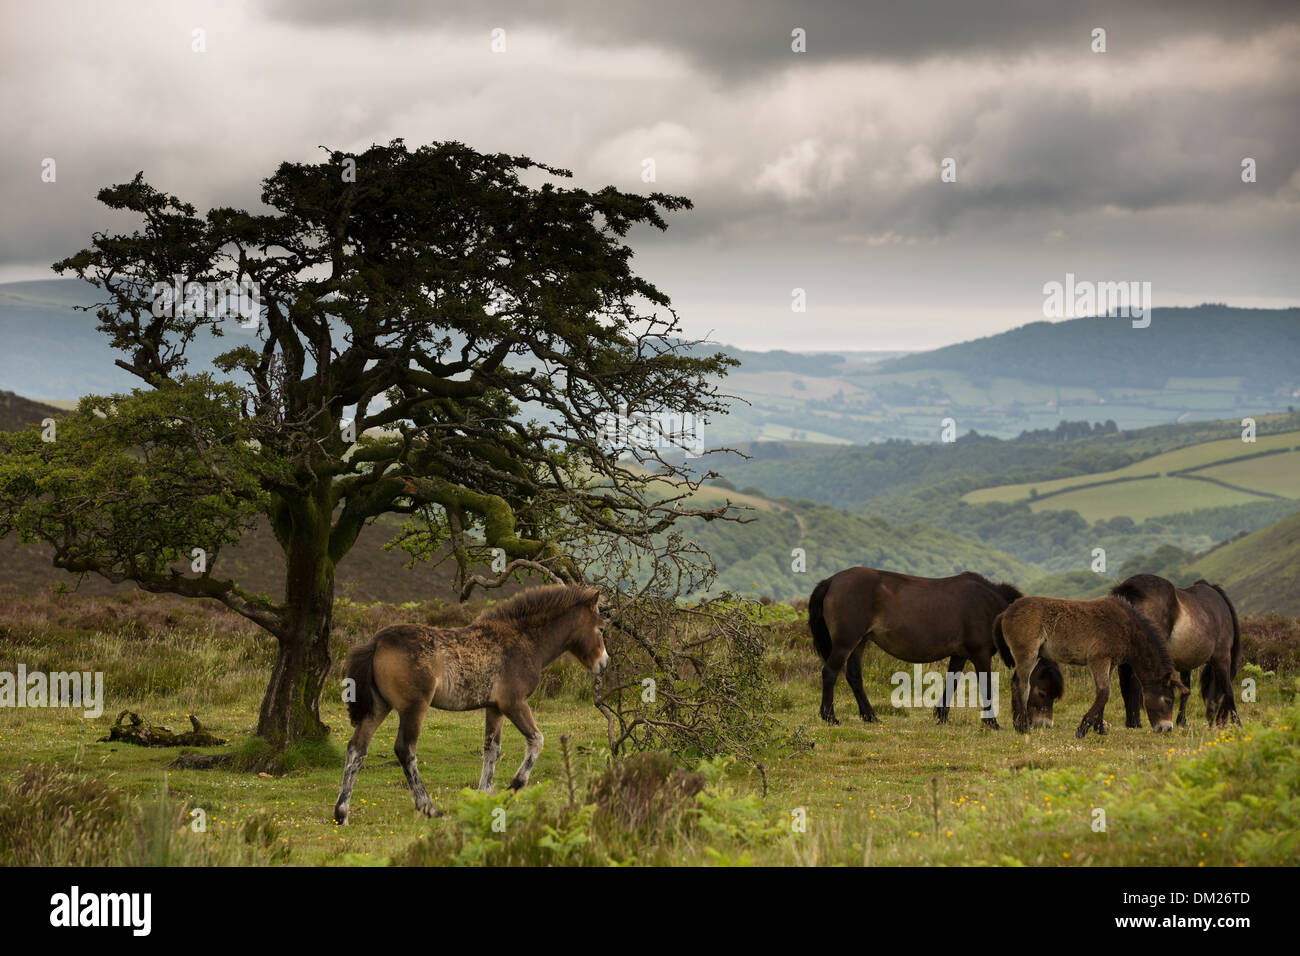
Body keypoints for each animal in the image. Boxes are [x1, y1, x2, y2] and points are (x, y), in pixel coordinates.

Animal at [330, 582, 603, 822]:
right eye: (601, 628)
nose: (604, 663)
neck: (523, 640)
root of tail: (376, 642)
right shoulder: (514, 704)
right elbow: (536, 740)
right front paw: (512, 789)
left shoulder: (494, 708)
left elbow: (491, 749)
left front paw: (484, 797)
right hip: (413, 708)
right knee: (405, 749)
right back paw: (429, 808)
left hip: (378, 707)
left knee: (357, 748)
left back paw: (342, 813)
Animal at [806, 567, 1050, 733]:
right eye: (1043, 691)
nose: (1040, 725)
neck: (991, 605)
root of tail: (831, 581)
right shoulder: (980, 654)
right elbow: (987, 685)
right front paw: (992, 722)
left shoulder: (959, 655)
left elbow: (952, 682)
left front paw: (941, 715)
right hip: (846, 642)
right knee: (830, 673)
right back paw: (830, 717)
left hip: (859, 643)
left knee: (854, 676)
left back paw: (870, 716)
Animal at [993, 590, 1190, 738]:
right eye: (1168, 700)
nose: (1166, 728)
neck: (1127, 629)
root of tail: (1006, 612)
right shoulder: (1099, 660)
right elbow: (1104, 693)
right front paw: (1082, 729)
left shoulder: (1110, 663)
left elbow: (1103, 693)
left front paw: (1100, 729)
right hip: (1028, 654)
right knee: (1022, 685)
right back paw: (1024, 728)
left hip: (1033, 657)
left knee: (1015, 683)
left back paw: (1017, 725)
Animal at [1112, 574, 1242, 723]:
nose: (1212, 722)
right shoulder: (1222, 658)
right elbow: (1228, 690)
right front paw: (1238, 723)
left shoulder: (1187, 661)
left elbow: (1186, 690)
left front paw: (1181, 721)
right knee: (1134, 681)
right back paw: (1135, 722)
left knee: (1125, 680)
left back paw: (1131, 721)